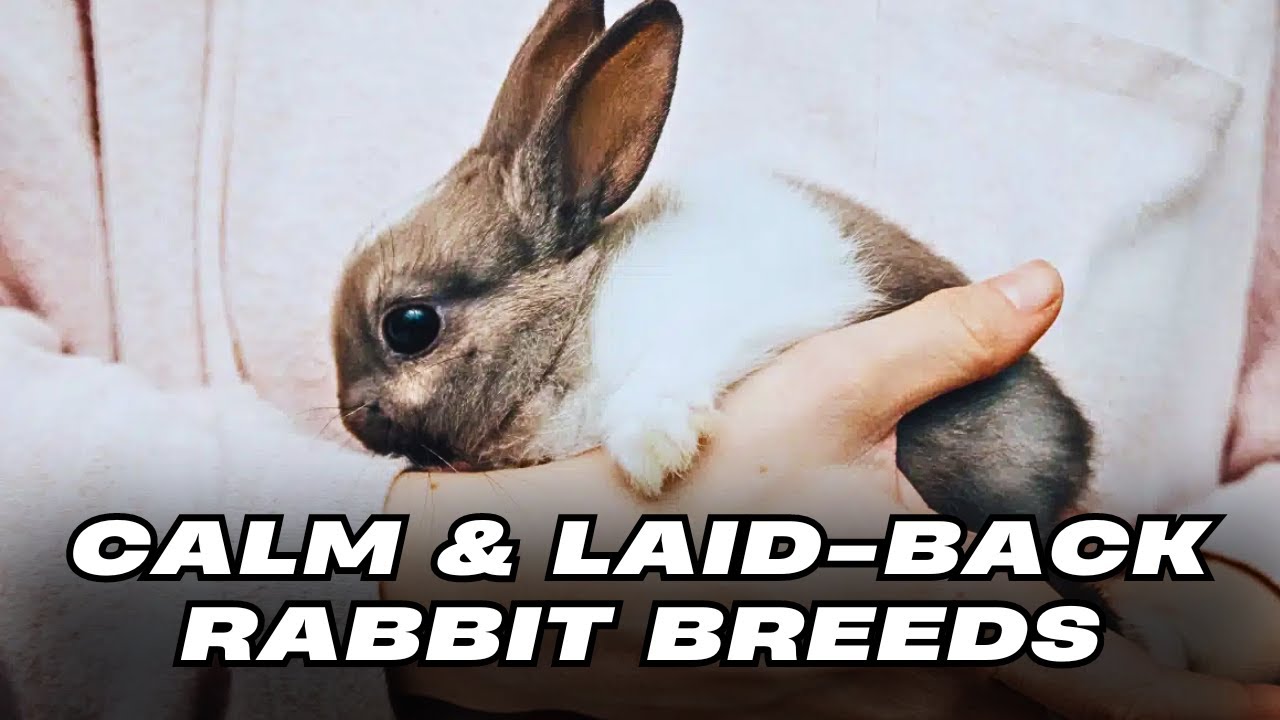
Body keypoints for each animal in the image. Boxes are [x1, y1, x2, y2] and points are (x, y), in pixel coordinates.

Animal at [330, 0, 1095, 533]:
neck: (574, 323)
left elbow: (681, 359)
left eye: (410, 325)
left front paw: (652, 447)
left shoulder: (761, 305)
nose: (354, 418)